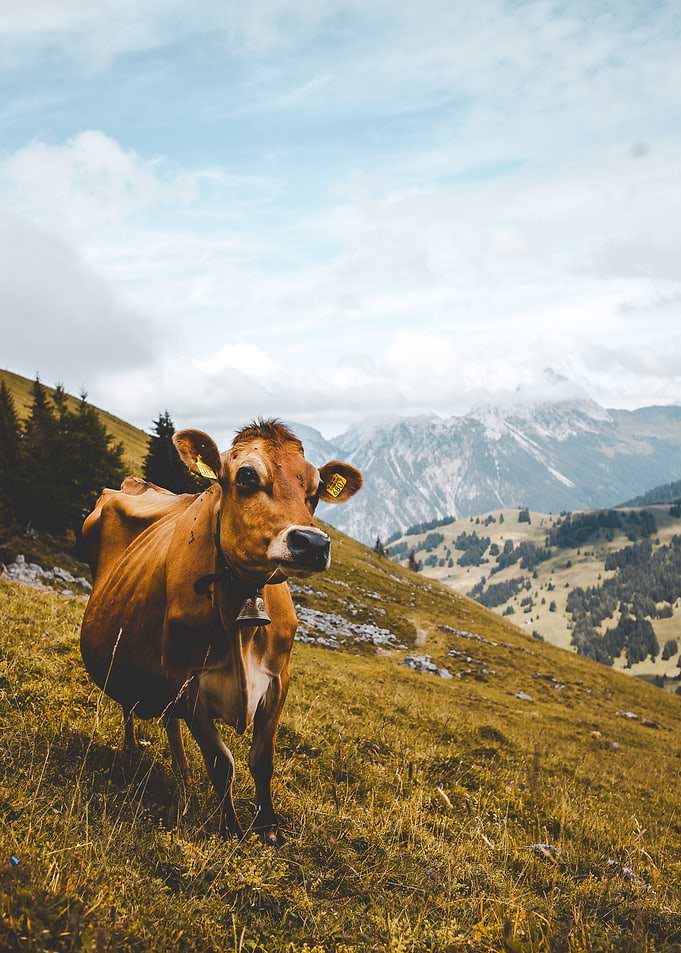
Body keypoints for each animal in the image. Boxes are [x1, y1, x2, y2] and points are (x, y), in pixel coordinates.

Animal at [80, 419, 362, 844]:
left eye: (314, 491)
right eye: (246, 476)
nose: (312, 542)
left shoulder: (278, 680)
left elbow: (261, 760)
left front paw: (269, 828)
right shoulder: (187, 681)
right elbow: (221, 762)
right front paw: (229, 827)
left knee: (167, 721)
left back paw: (180, 779)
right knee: (131, 706)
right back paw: (136, 755)